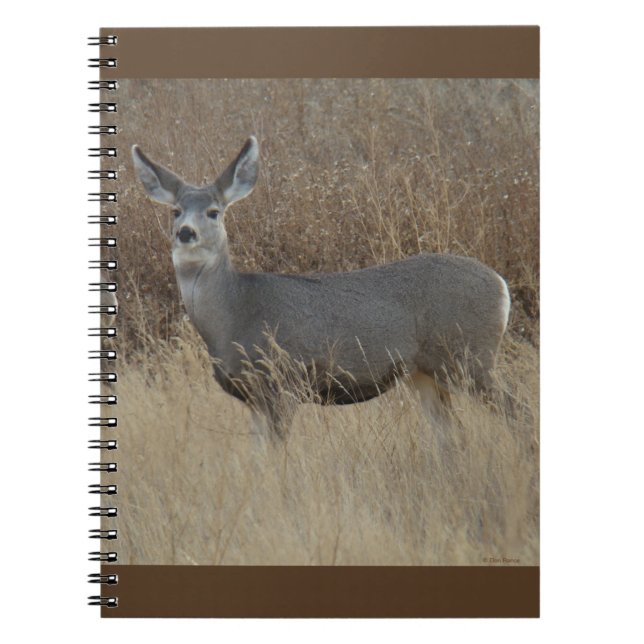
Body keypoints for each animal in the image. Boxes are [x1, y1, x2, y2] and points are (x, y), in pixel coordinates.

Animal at [132, 137, 511, 440]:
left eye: (213, 211)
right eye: (175, 211)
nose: (185, 232)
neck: (233, 315)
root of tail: (501, 285)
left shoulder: (282, 382)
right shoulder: (253, 397)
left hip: (470, 356)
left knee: (512, 411)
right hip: (425, 373)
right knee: (452, 436)